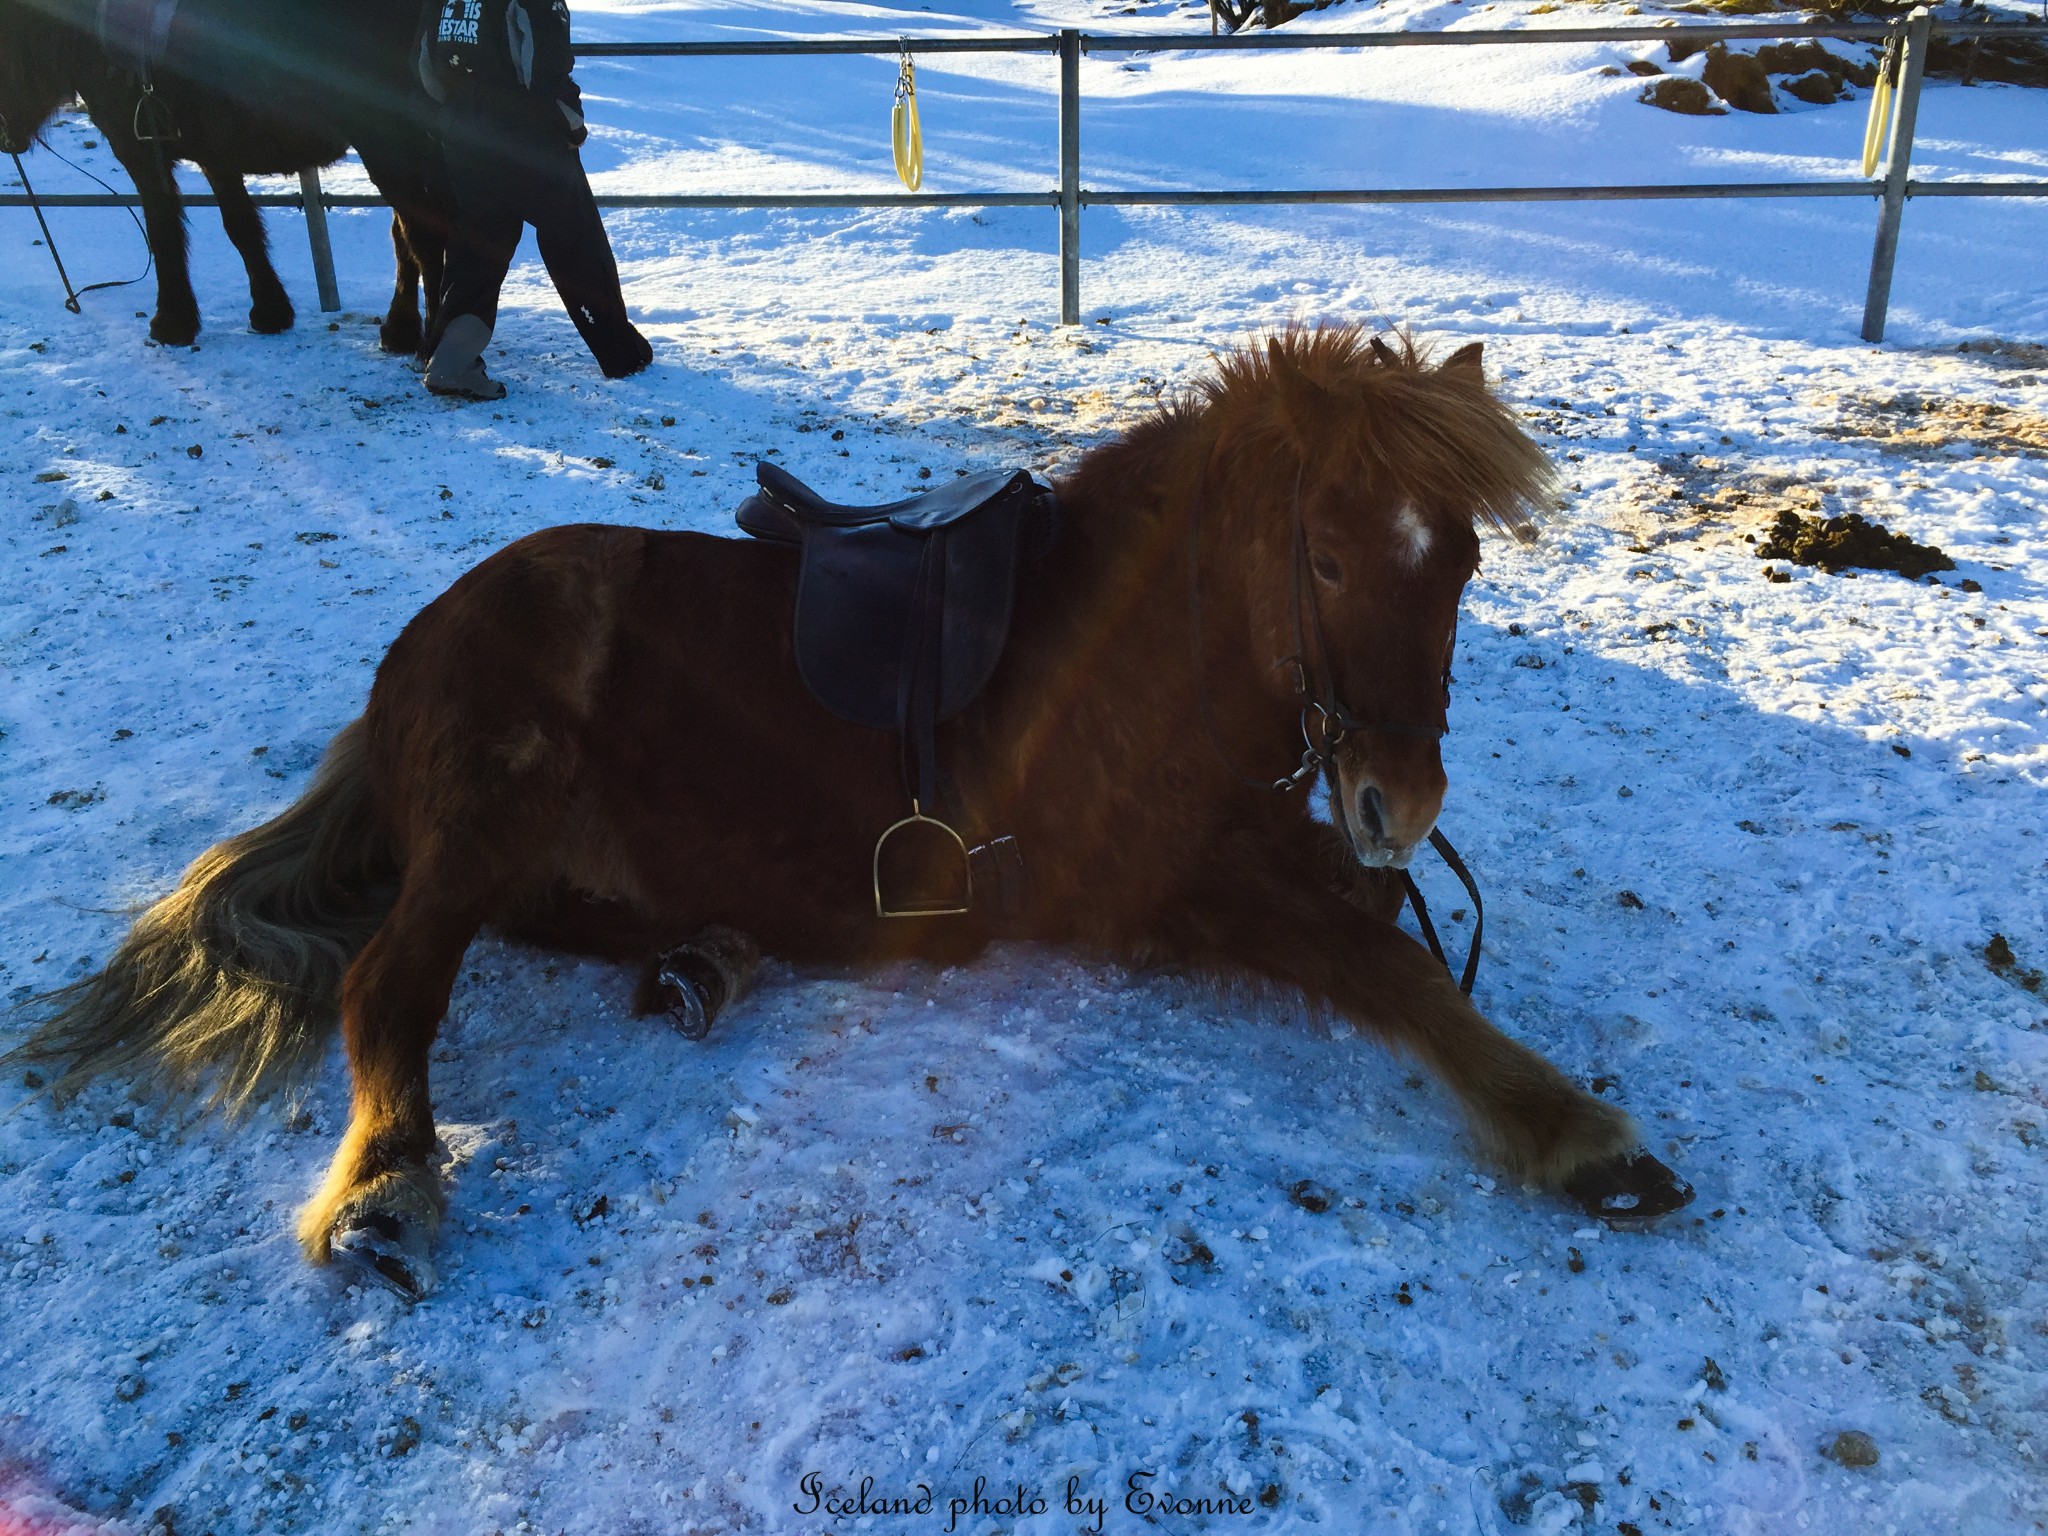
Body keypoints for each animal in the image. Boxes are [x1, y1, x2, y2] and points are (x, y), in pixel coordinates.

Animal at [0, 0, 440, 350]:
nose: (4, 137)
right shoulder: (217, 159)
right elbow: (241, 228)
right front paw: (270, 311)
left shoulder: (142, 153)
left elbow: (163, 231)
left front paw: (172, 323)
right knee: (408, 235)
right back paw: (403, 332)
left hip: (387, 149)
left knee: (419, 237)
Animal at [19, 327, 1695, 1302]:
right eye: (1330, 560)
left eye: (1460, 559)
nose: (1398, 805)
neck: (1129, 650)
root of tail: (411, 653)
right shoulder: (1164, 890)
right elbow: (1389, 962)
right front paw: (1577, 1133)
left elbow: (1383, 931)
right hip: (504, 784)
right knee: (391, 982)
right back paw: (384, 1189)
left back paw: (701, 957)